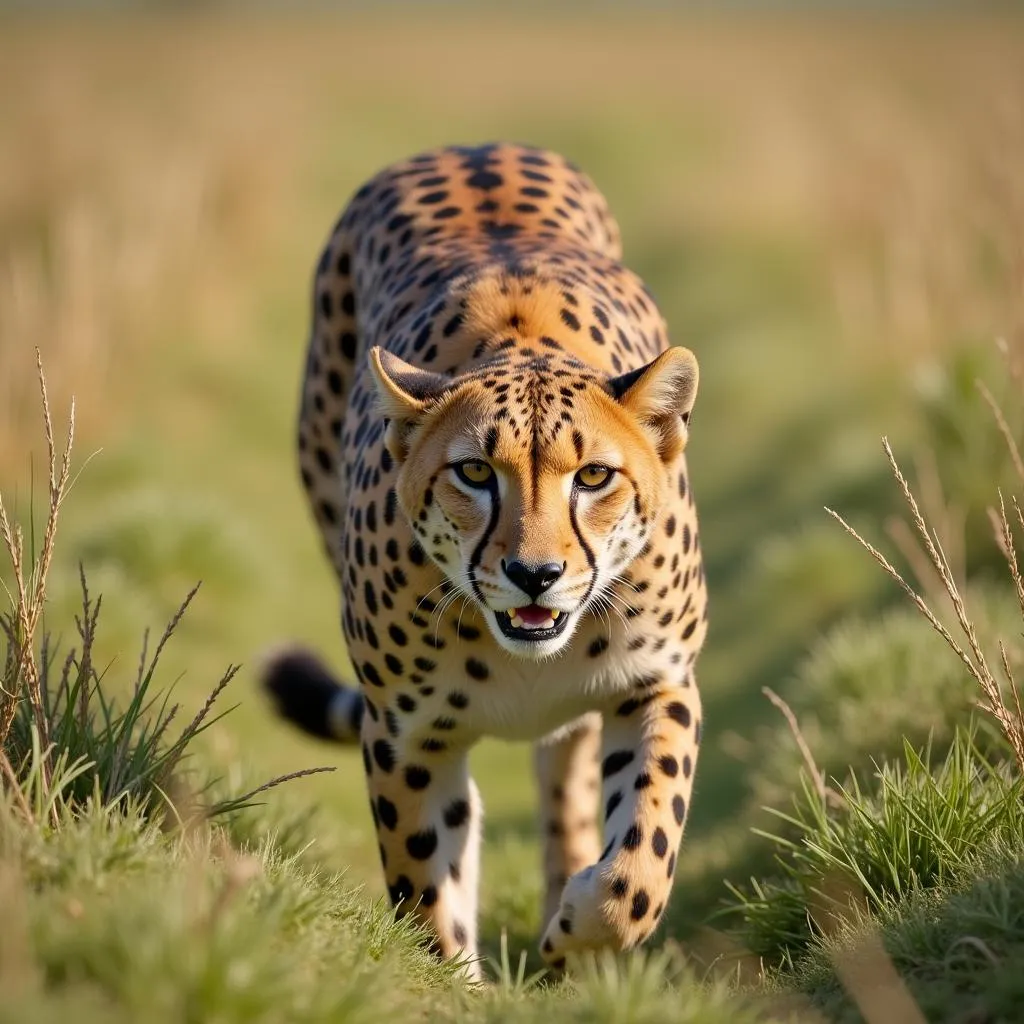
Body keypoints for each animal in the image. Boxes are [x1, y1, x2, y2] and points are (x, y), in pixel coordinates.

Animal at [264, 144, 708, 974]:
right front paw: (450, 979)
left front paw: (575, 935)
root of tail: (468, 148)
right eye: (474, 472)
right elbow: (425, 881)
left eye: (592, 476)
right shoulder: (406, 732)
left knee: (564, 781)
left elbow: (639, 863)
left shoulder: (658, 682)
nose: (535, 574)